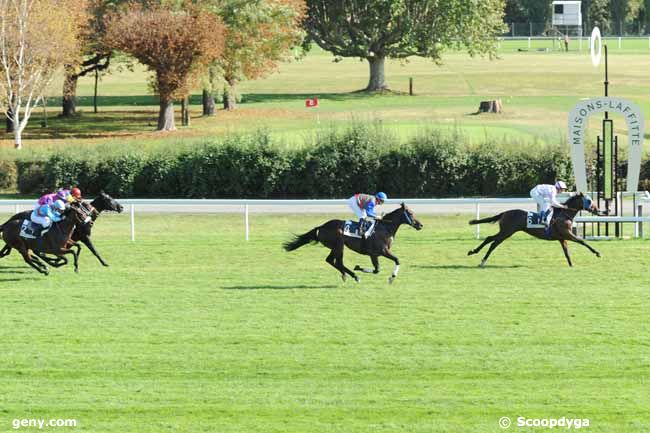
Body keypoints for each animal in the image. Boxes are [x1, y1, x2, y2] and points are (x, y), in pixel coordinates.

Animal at [282, 203, 422, 282]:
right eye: (410, 213)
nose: (420, 225)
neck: (384, 228)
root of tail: (321, 227)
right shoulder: (379, 252)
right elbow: (389, 263)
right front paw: (391, 277)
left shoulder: (376, 254)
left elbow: (378, 269)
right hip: (339, 245)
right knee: (338, 262)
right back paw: (354, 276)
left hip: (335, 246)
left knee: (330, 260)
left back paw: (345, 275)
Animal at [466, 192, 596, 266]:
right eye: (589, 200)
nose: (597, 208)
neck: (564, 215)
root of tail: (504, 213)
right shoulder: (567, 234)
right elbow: (582, 241)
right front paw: (597, 253)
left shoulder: (562, 238)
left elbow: (567, 252)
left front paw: (571, 265)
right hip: (507, 232)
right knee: (493, 243)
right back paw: (481, 260)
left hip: (505, 231)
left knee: (489, 239)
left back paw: (474, 253)